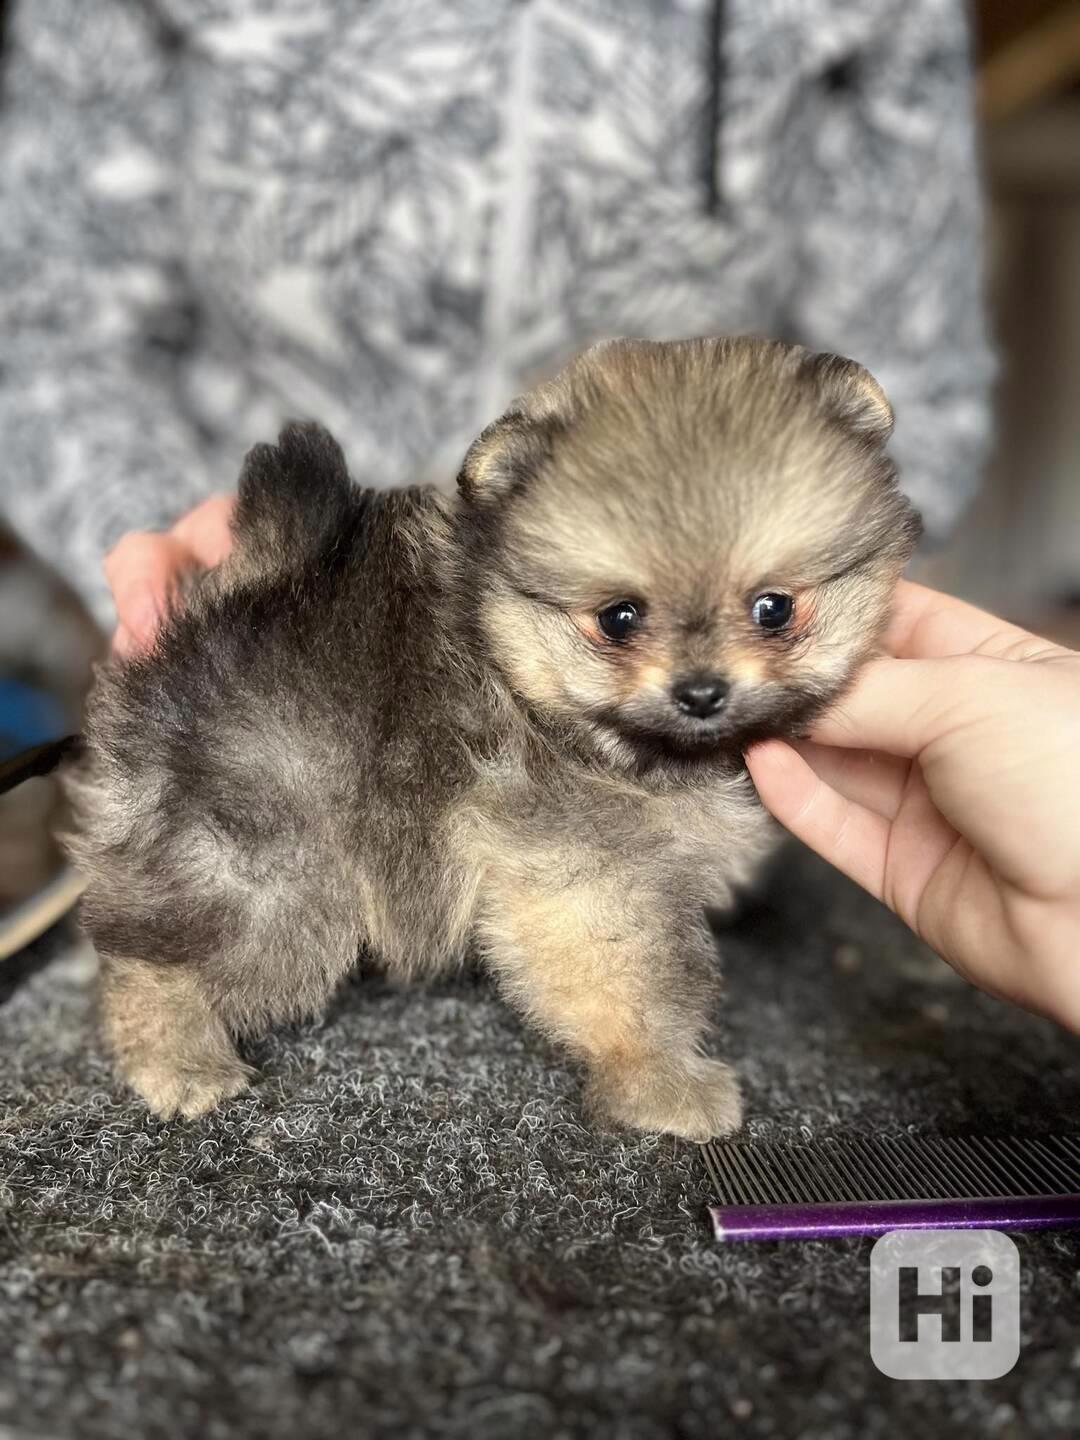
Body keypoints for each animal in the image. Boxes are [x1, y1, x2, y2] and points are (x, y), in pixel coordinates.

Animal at [59, 334, 921, 1134]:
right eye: (619, 618)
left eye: (775, 608)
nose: (701, 690)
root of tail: (232, 600)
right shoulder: (583, 869)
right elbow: (630, 981)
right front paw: (662, 1083)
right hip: (275, 872)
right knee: (156, 960)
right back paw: (177, 1058)